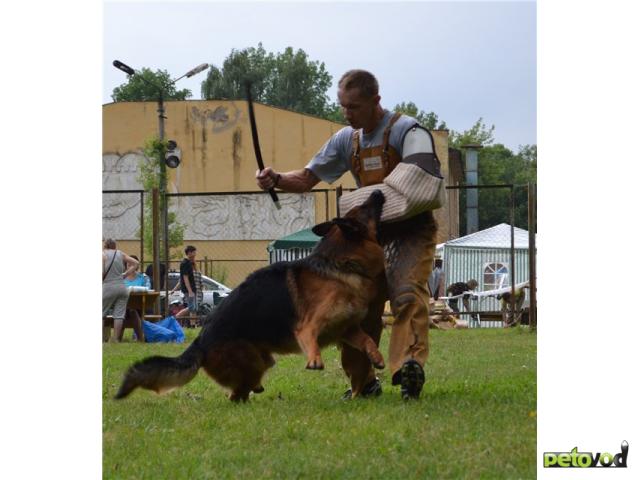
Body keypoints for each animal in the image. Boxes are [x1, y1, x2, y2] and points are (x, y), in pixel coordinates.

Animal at [115, 190, 384, 402]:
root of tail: (200, 340)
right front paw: (315, 360)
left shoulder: (347, 329)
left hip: (262, 362)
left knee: (240, 392)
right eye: (364, 208)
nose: (378, 191)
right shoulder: (309, 324)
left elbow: (368, 340)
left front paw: (378, 358)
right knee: (236, 395)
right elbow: (309, 337)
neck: (341, 265)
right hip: (252, 362)